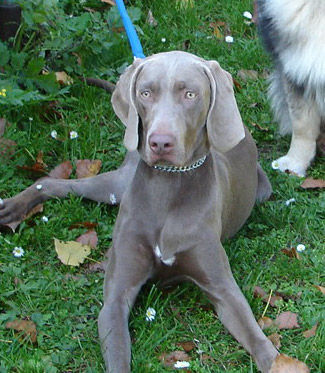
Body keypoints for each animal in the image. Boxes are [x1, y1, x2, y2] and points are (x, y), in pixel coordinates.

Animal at [0, 50, 308, 370]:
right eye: (145, 93)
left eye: (190, 94)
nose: (160, 142)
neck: (169, 186)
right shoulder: (115, 299)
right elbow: (118, 356)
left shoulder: (224, 288)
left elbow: (257, 337)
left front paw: (281, 363)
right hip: (116, 186)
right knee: (52, 182)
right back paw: (12, 208)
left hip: (262, 189)